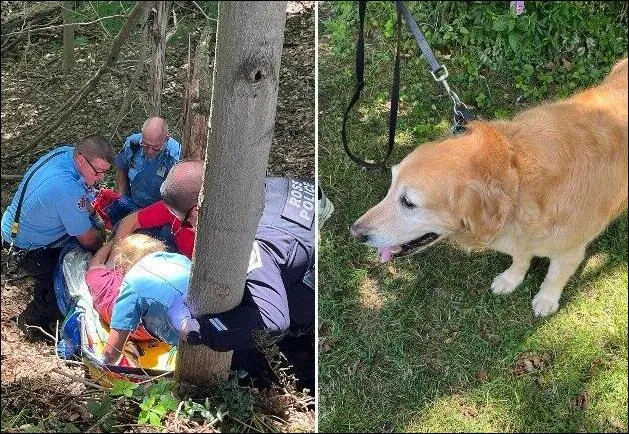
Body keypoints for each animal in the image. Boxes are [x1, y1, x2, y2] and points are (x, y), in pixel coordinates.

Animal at [350, 57, 624, 318]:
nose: (355, 233)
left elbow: (554, 277)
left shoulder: (570, 251)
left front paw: (546, 300)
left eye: (408, 202)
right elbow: (520, 258)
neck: (518, 179)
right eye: (391, 185)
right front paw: (510, 279)